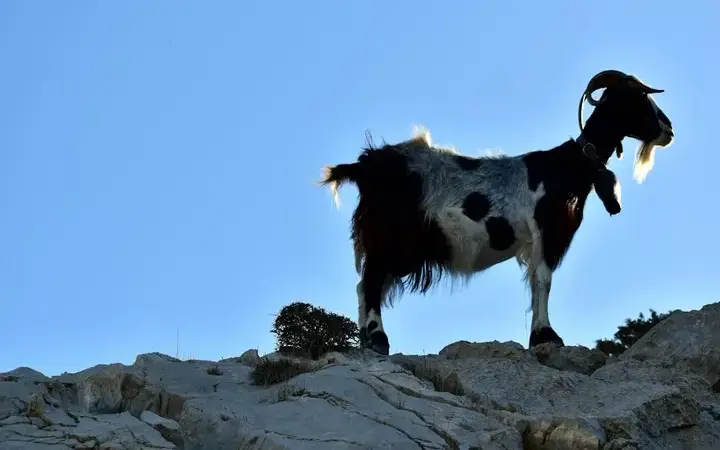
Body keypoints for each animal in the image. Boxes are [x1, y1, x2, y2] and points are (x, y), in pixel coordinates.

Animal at [319, 69, 675, 355]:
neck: (569, 166)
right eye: (638, 97)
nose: (668, 128)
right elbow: (543, 279)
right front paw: (546, 336)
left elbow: (537, 280)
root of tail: (365, 165)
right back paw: (379, 339)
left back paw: (367, 340)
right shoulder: (549, 231)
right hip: (390, 235)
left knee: (367, 284)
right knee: (372, 280)